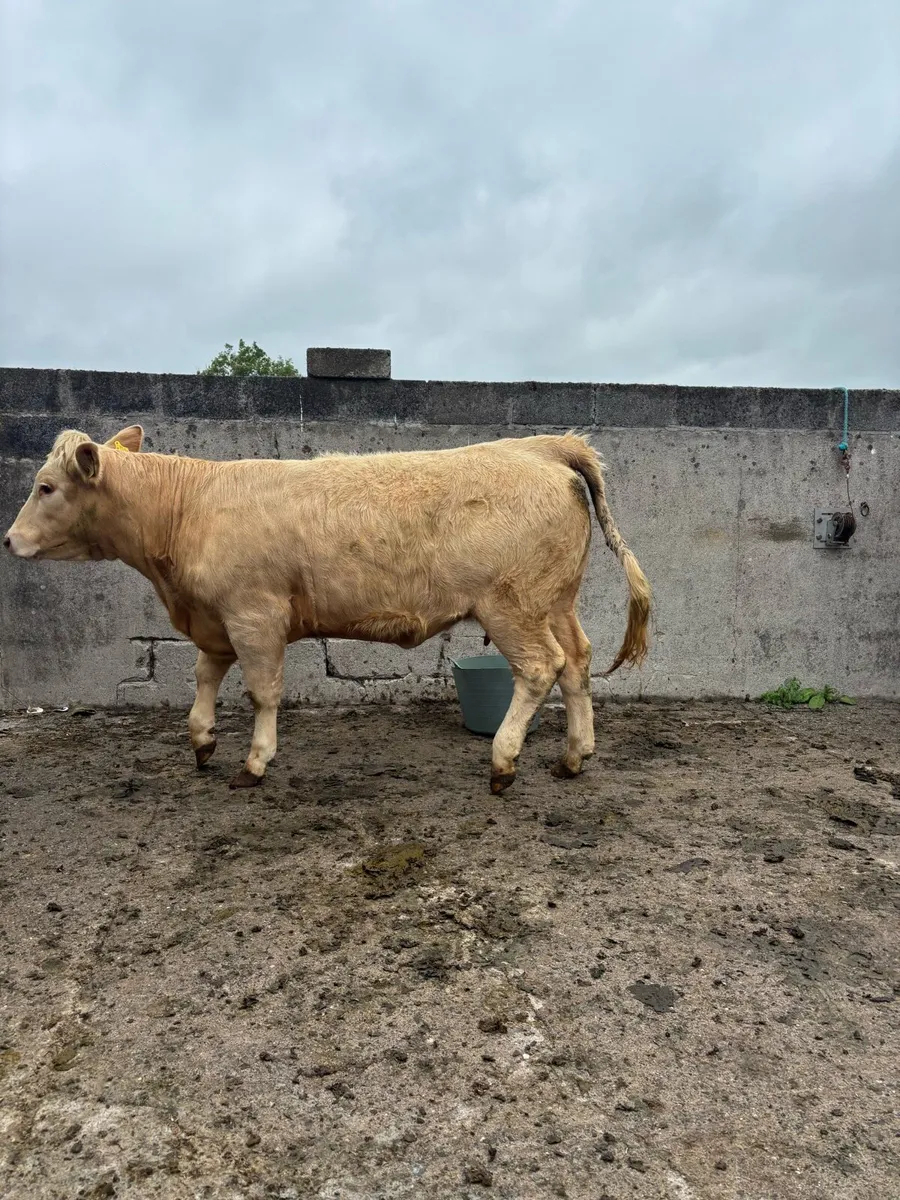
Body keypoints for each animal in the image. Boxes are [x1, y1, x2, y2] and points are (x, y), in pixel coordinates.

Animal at [4, 427, 651, 793]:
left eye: (45, 487)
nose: (8, 540)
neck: (187, 508)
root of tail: (542, 446)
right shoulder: (215, 620)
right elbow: (205, 676)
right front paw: (202, 741)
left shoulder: (254, 613)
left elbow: (261, 691)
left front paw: (254, 763)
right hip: (555, 599)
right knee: (578, 663)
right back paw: (573, 757)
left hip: (511, 604)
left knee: (541, 668)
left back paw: (504, 762)